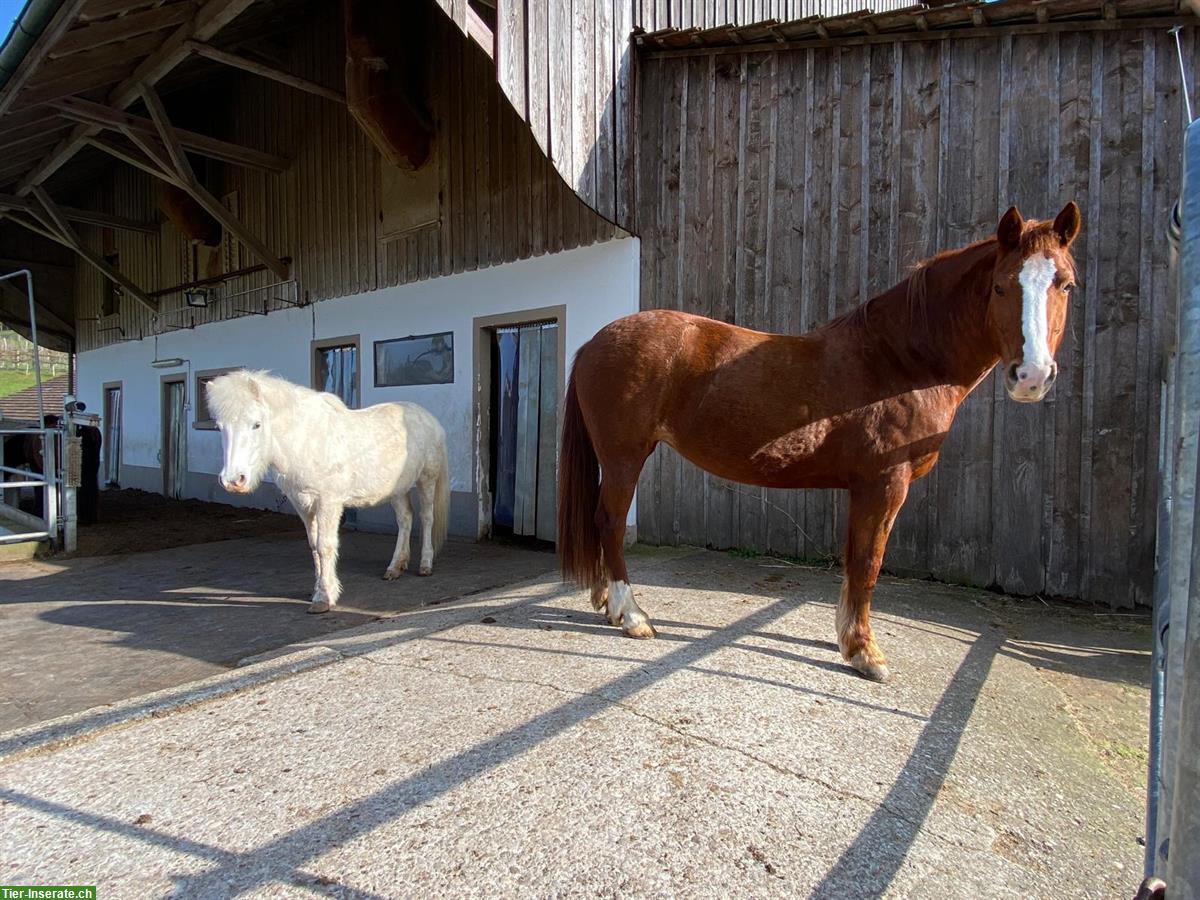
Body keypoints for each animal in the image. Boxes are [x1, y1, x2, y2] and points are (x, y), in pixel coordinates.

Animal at [206, 369, 451, 619]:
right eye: (220, 426)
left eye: (256, 424)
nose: (233, 480)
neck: (305, 441)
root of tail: (429, 419)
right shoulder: (303, 505)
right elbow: (314, 546)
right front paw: (318, 591)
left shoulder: (328, 503)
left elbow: (325, 546)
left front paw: (324, 598)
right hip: (397, 489)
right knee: (405, 519)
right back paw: (394, 568)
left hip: (427, 479)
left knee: (426, 518)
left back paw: (425, 565)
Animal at [556, 206, 1084, 681]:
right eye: (1001, 286)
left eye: (1065, 284)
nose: (1032, 376)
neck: (901, 360)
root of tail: (593, 343)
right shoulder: (884, 484)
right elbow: (869, 563)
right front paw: (866, 654)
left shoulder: (865, 489)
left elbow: (854, 560)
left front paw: (848, 638)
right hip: (624, 457)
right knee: (610, 522)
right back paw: (632, 616)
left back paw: (606, 604)